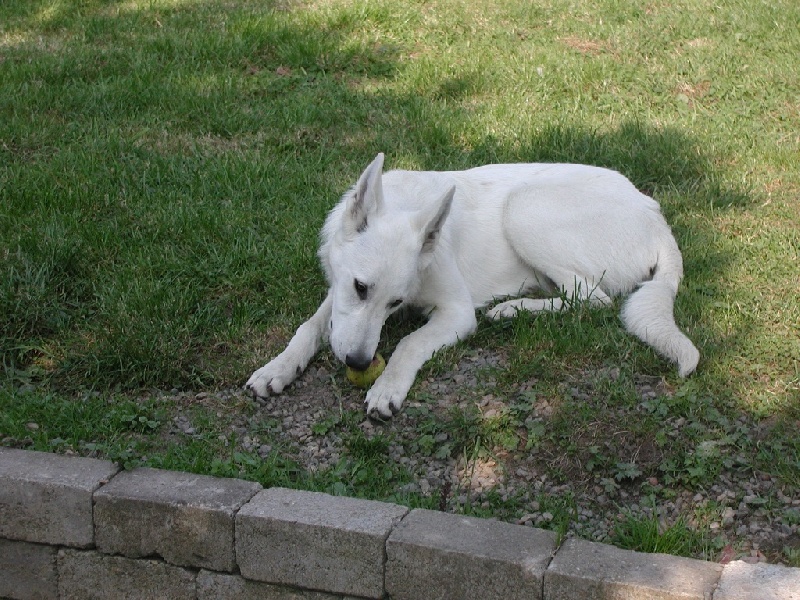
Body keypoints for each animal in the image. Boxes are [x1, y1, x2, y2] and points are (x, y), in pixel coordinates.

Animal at [247, 154, 696, 418]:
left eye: (394, 302)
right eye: (360, 288)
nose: (358, 363)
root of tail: (656, 216)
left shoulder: (457, 313)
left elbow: (410, 343)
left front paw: (387, 387)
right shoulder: (336, 297)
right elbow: (307, 328)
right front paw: (277, 368)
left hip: (525, 207)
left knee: (593, 299)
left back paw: (512, 308)